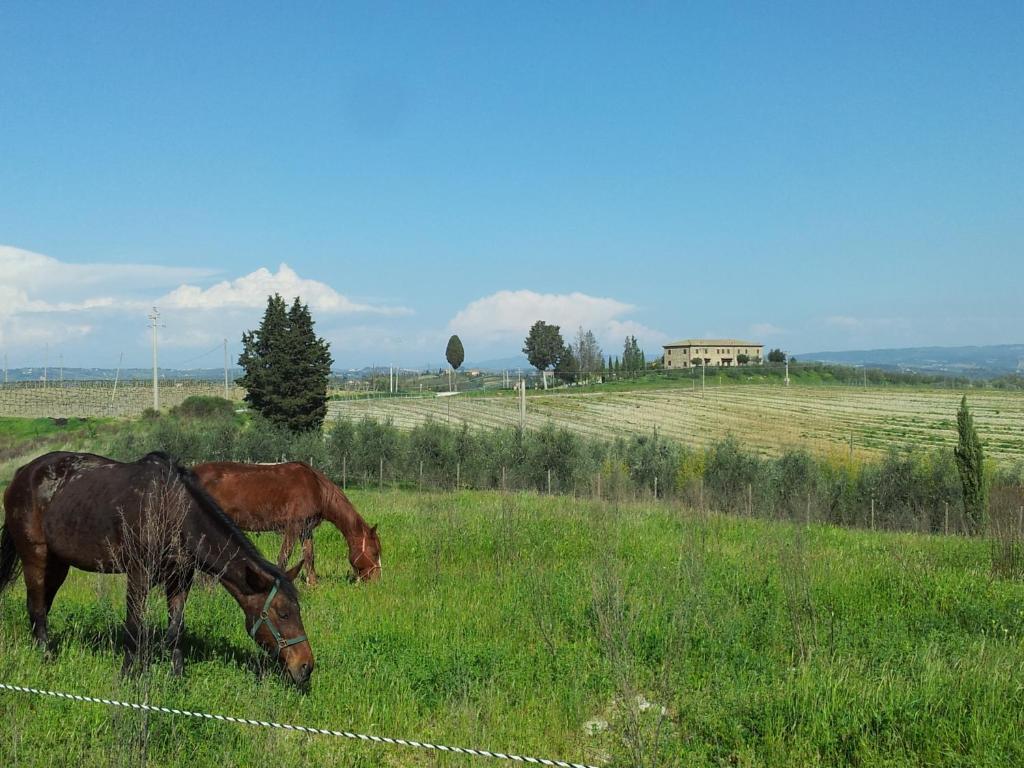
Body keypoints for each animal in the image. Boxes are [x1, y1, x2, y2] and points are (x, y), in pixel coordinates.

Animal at [0, 450, 313, 684]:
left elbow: (175, 629)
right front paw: (129, 676)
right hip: (36, 556)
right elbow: (135, 627)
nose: (306, 666)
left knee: (41, 606)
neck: (172, 509)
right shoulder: (138, 575)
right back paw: (46, 657)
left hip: (58, 564)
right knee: (37, 607)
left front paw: (176, 678)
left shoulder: (181, 579)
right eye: (283, 613)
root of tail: (22, 473)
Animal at [193, 462, 382, 581]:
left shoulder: (306, 530)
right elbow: (284, 556)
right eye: (374, 553)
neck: (316, 487)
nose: (376, 580)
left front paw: (313, 584)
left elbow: (309, 556)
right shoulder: (293, 527)